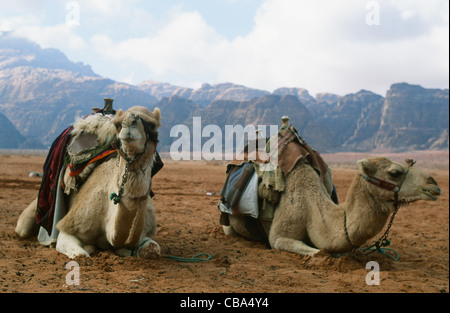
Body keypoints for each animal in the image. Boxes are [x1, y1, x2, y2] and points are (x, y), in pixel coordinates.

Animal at [16, 106, 163, 258]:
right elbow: (81, 255)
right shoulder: (70, 226)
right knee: (23, 228)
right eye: (117, 124)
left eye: (153, 125)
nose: (129, 122)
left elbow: (153, 248)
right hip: (28, 222)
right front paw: (90, 248)